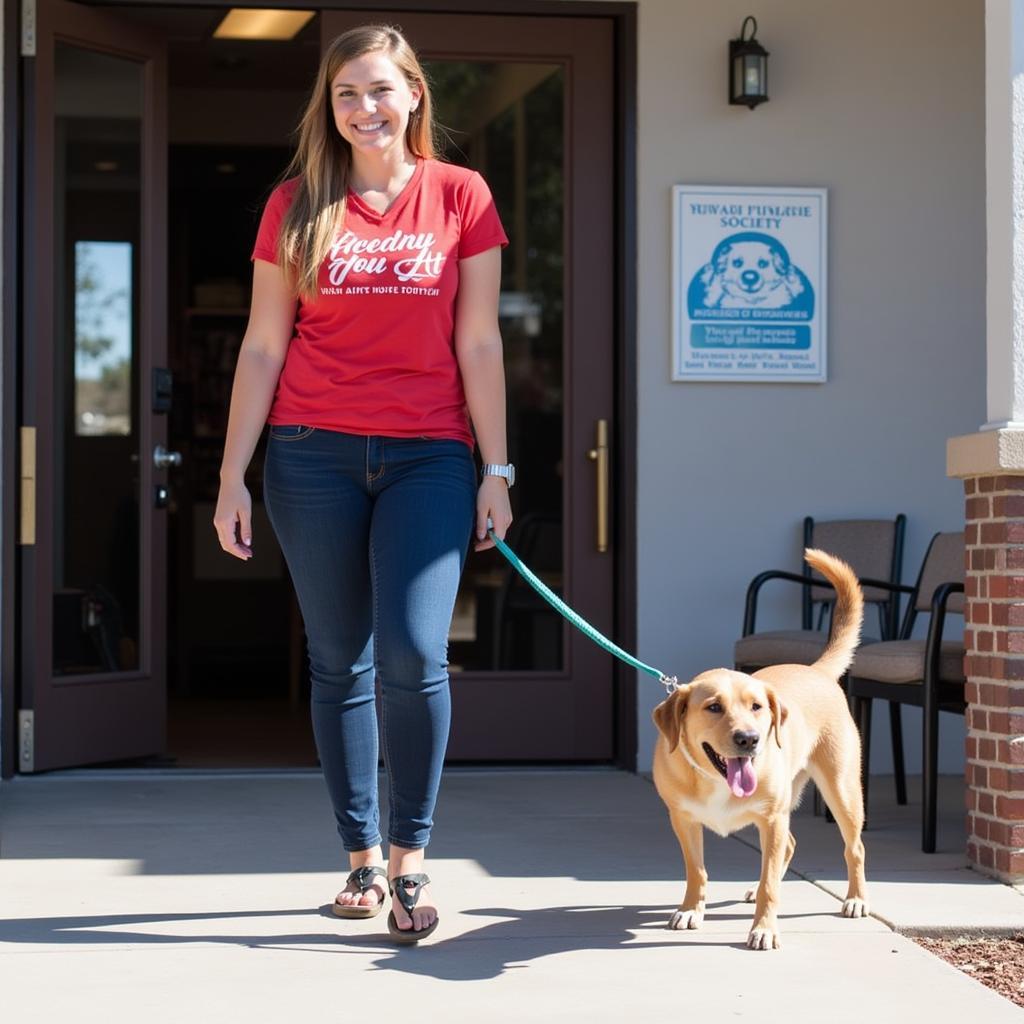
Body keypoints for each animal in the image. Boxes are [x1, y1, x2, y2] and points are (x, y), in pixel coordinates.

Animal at [651, 552, 868, 950]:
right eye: (714, 707)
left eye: (756, 707)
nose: (750, 739)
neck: (714, 779)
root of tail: (816, 671)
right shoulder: (683, 819)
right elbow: (696, 870)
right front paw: (691, 909)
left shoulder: (771, 819)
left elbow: (770, 885)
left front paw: (764, 928)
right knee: (791, 845)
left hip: (842, 791)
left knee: (854, 848)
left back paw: (857, 898)